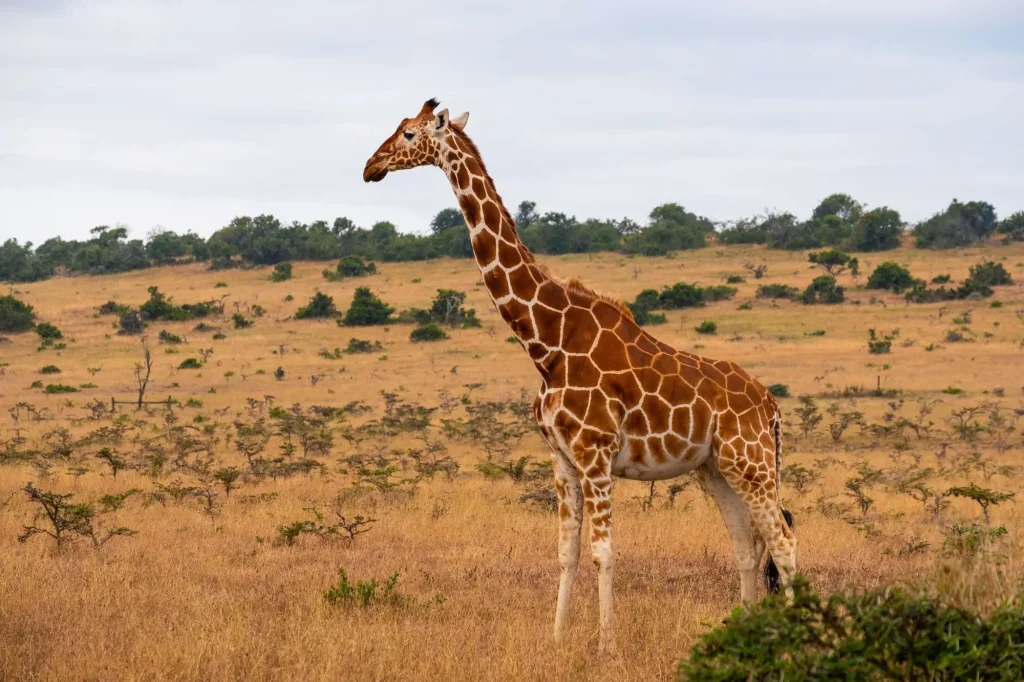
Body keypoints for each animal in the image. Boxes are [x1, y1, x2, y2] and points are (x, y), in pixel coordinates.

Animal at [363, 99, 796, 651]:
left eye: (409, 134)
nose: (370, 167)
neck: (545, 342)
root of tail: (771, 405)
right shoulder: (562, 459)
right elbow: (566, 553)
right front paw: (557, 638)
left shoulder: (595, 455)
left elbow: (602, 553)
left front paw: (605, 644)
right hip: (716, 468)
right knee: (748, 543)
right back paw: (744, 632)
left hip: (752, 463)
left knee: (783, 540)